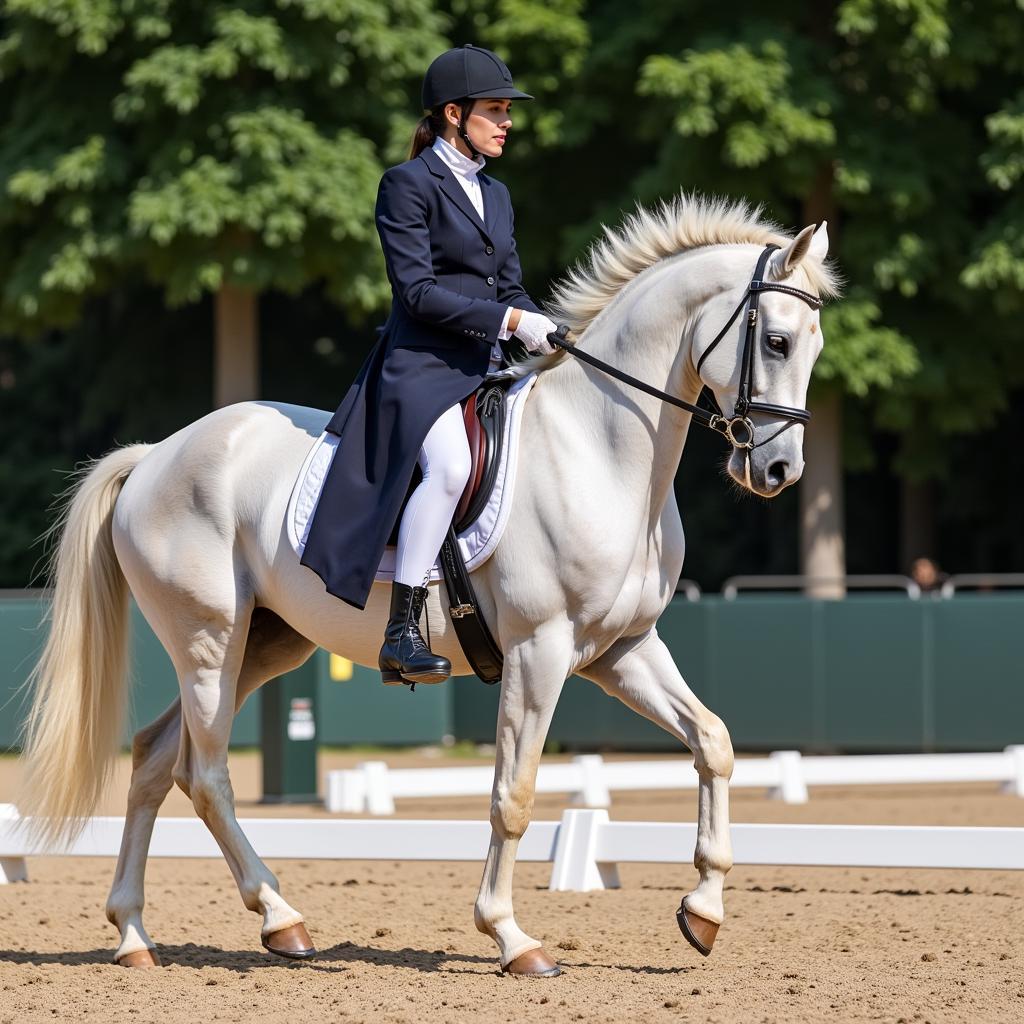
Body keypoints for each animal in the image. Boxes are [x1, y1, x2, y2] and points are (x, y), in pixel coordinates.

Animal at [14, 193, 831, 974]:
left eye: (814, 347)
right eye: (778, 341)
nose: (778, 472)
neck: (599, 449)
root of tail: (157, 454)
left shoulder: (621, 649)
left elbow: (714, 742)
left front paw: (704, 911)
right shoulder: (540, 650)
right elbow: (512, 794)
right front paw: (512, 938)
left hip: (263, 645)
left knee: (155, 759)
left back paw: (134, 935)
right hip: (209, 643)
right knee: (206, 774)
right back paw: (280, 919)